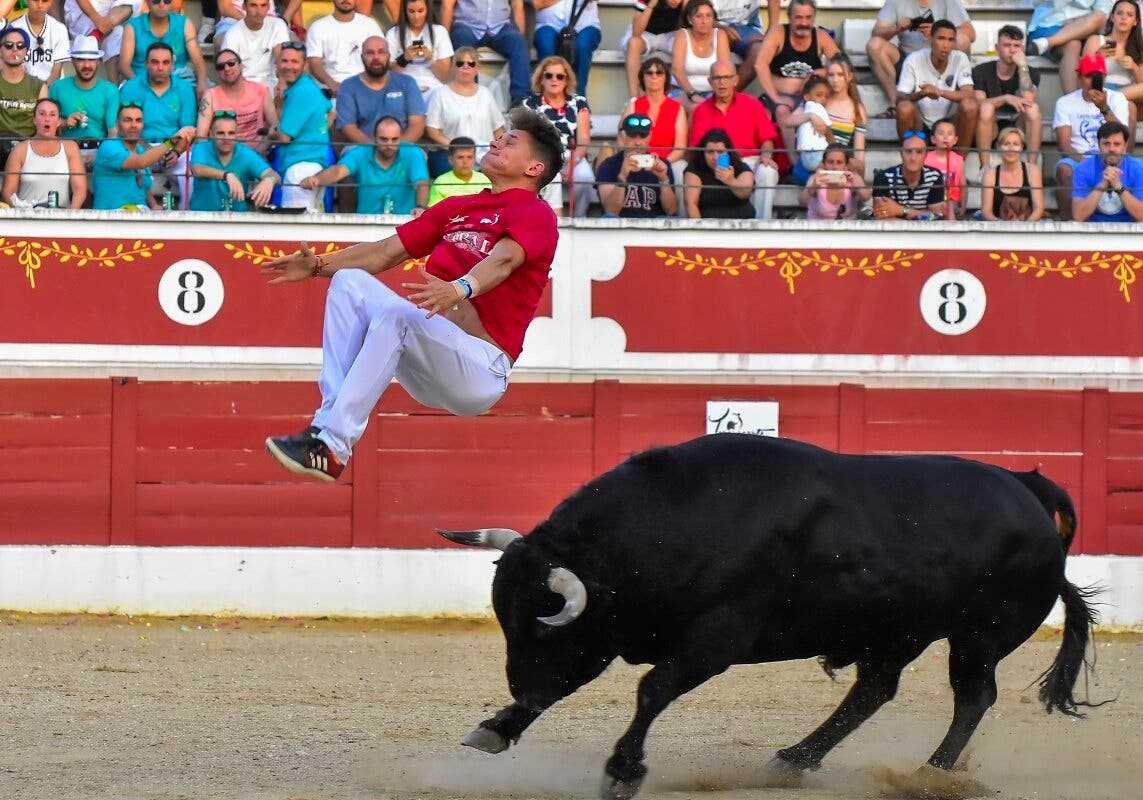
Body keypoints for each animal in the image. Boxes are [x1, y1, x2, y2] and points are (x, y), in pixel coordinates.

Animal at [436, 436, 1097, 800]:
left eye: (539, 622)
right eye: (505, 618)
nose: (521, 688)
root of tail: (1025, 487)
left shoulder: (715, 640)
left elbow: (652, 690)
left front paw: (623, 771)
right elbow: (582, 686)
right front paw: (495, 727)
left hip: (977, 637)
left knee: (972, 696)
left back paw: (929, 775)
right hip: (896, 632)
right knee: (874, 690)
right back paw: (793, 761)